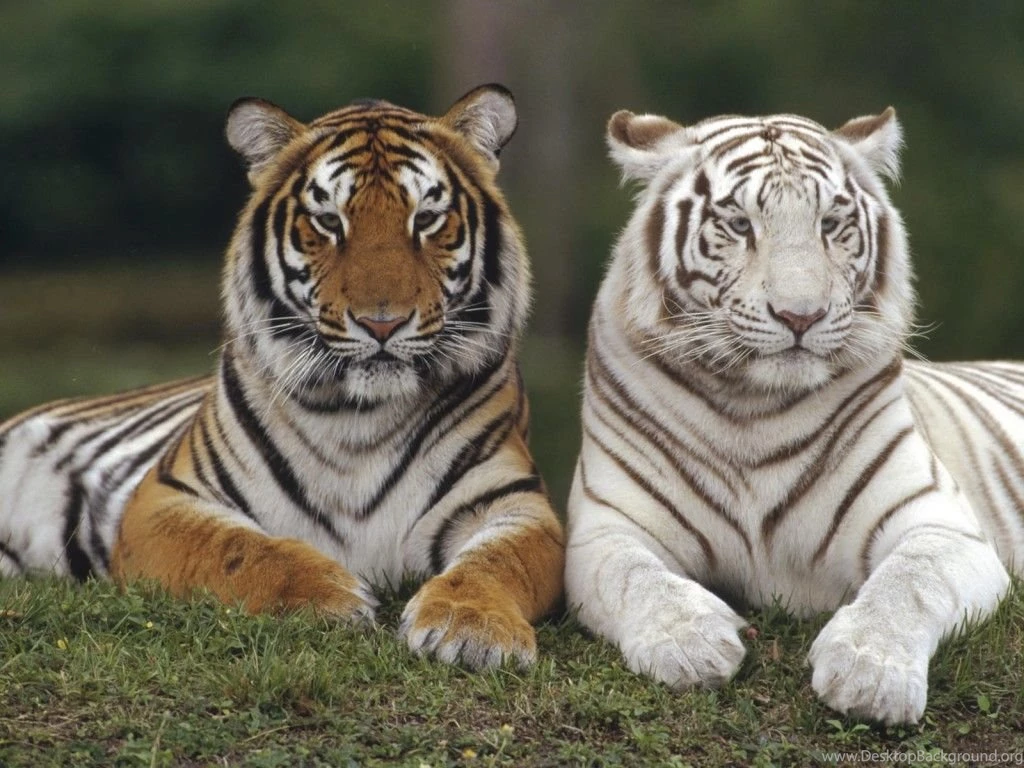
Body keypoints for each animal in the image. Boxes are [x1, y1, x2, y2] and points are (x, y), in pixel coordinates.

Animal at [0, 84, 564, 670]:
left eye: (427, 218)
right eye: (329, 221)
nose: (381, 323)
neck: (360, 416)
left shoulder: (515, 503)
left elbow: (498, 562)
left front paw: (473, 627)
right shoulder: (165, 499)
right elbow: (238, 549)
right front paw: (329, 595)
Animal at [565, 106, 1022, 725]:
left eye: (830, 223)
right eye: (738, 224)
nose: (800, 315)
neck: (753, 408)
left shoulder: (941, 524)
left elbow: (909, 581)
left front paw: (869, 672)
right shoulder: (606, 527)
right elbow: (635, 577)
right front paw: (690, 643)